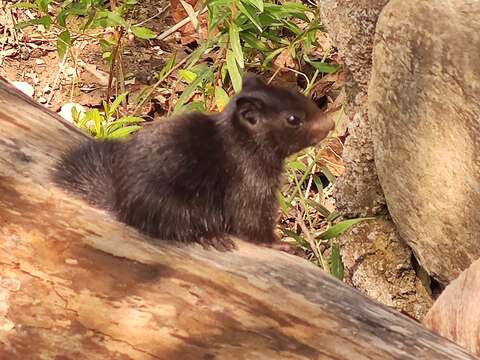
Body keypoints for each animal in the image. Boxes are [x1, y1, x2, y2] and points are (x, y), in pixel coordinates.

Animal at [54, 74, 334, 250]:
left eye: (297, 93)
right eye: (293, 119)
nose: (331, 123)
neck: (241, 141)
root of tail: (121, 203)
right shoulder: (250, 183)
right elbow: (251, 222)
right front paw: (279, 244)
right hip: (176, 207)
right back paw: (211, 237)